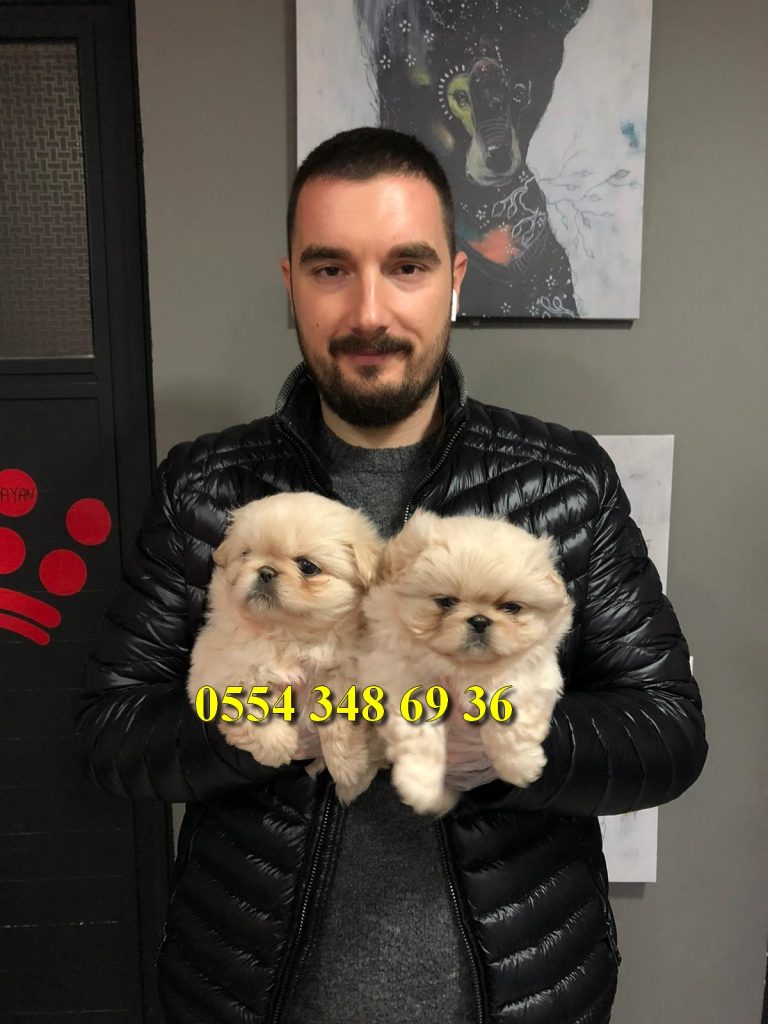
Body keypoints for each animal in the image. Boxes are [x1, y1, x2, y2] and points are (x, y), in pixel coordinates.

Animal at [186, 492, 383, 802]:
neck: (287, 637)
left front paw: (348, 765)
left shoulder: (346, 669)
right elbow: (250, 704)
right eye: (245, 555)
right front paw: (277, 746)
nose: (265, 571)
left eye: (307, 567)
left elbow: (339, 715)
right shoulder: (220, 673)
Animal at [357, 509, 574, 815]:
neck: (464, 668)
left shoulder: (531, 674)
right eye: (446, 602)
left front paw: (520, 765)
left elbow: (510, 717)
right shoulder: (398, 680)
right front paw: (419, 785)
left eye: (511, 607)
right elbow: (420, 737)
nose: (480, 620)